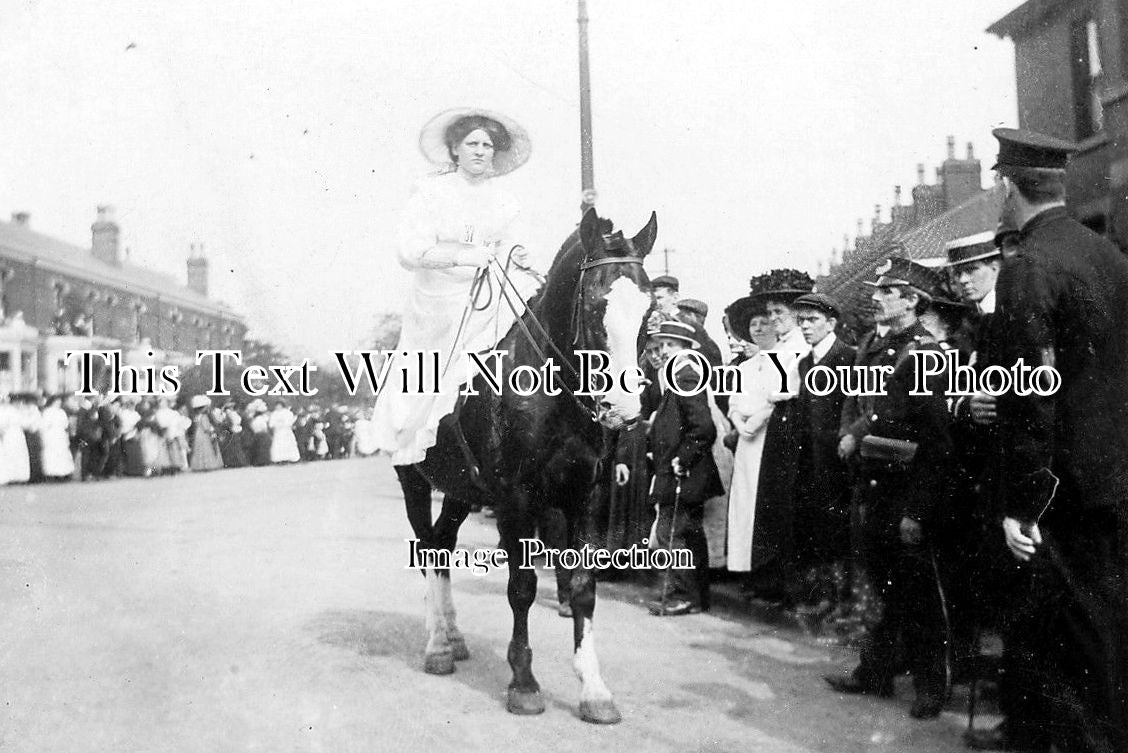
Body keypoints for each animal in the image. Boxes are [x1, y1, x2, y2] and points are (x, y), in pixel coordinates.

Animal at [399, 206, 658, 721]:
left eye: (649, 309)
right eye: (596, 304)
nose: (624, 410)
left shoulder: (582, 497)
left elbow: (582, 587)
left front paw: (594, 689)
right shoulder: (516, 498)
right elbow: (521, 586)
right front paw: (523, 682)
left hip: (461, 491)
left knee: (442, 544)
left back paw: (453, 636)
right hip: (413, 481)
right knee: (428, 551)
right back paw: (437, 644)